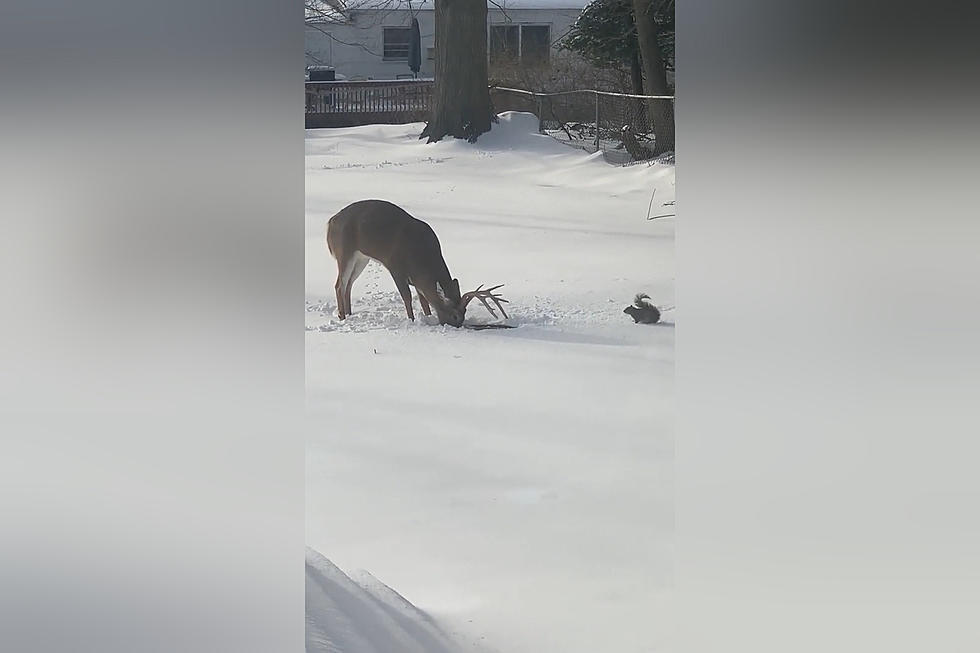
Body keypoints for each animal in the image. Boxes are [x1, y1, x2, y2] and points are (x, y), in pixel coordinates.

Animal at [330, 199, 512, 328]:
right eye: (454, 315)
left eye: (465, 312)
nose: (457, 326)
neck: (420, 255)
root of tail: (330, 223)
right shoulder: (395, 266)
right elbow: (407, 297)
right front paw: (411, 320)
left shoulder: (417, 279)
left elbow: (423, 300)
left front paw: (428, 316)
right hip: (344, 251)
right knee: (339, 284)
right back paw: (342, 316)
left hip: (362, 258)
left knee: (349, 284)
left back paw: (349, 313)